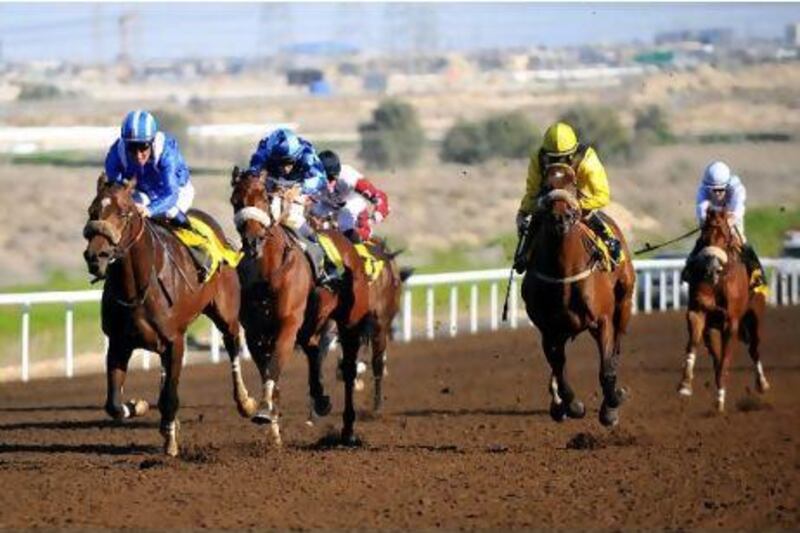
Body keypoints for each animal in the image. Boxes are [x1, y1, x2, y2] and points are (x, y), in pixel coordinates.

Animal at [82, 172, 256, 456]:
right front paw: (139, 406)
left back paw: (245, 402)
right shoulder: (119, 344)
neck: (138, 288)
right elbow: (114, 404)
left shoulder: (176, 341)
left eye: (124, 213)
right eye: (92, 211)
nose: (96, 256)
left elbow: (170, 397)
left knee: (232, 345)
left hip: (226, 313)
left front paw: (171, 441)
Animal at [228, 166, 372, 444]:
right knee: (314, 350)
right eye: (235, 201)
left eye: (264, 198)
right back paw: (321, 400)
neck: (267, 272)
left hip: (349, 322)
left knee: (349, 370)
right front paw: (274, 433)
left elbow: (275, 365)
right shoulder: (254, 333)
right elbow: (269, 374)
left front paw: (264, 411)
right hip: (311, 323)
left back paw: (348, 430)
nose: (252, 242)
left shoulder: (288, 323)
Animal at [520, 164, 636, 426]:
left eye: (573, 184)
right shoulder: (549, 330)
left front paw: (611, 406)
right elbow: (559, 369)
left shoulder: (602, 321)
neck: (564, 271)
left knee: (617, 348)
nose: (561, 217)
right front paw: (572, 405)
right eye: (546, 186)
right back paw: (558, 405)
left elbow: (606, 370)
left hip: (624, 303)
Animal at [676, 209, 768, 412]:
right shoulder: (697, 312)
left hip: (755, 316)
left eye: (724, 237)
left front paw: (719, 400)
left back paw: (762, 383)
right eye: (704, 237)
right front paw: (685, 384)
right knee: (717, 357)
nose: (711, 269)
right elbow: (693, 345)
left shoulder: (730, 322)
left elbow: (726, 358)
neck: (718, 282)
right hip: (712, 329)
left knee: (754, 349)